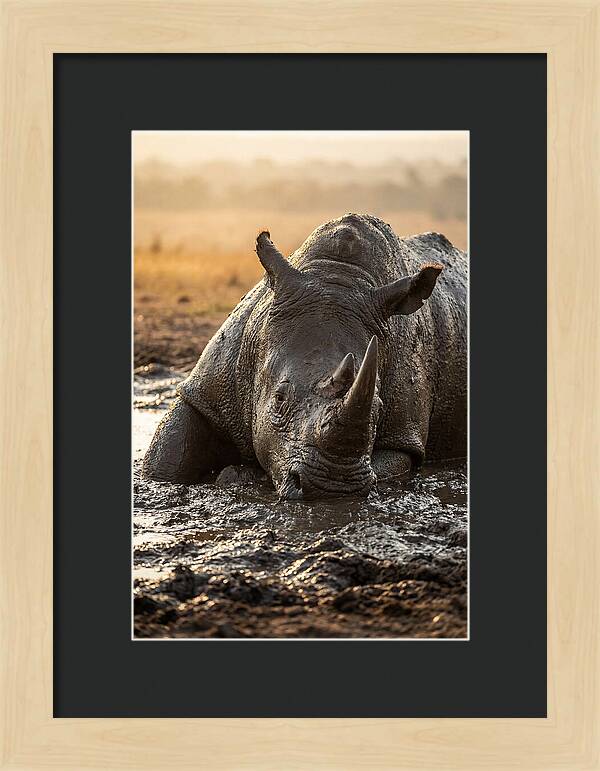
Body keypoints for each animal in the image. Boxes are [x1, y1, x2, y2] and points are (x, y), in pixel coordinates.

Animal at [142, 214, 467, 500]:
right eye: (278, 399)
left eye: (378, 408)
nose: (332, 487)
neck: (338, 276)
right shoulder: (206, 390)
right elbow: (167, 458)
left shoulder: (403, 435)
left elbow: (391, 463)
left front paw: (238, 475)